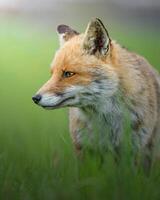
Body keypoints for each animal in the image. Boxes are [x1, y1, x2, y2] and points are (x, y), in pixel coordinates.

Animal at [32, 17, 160, 170]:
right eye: (52, 74)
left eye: (68, 74)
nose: (35, 98)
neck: (106, 123)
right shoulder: (85, 149)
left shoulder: (132, 151)